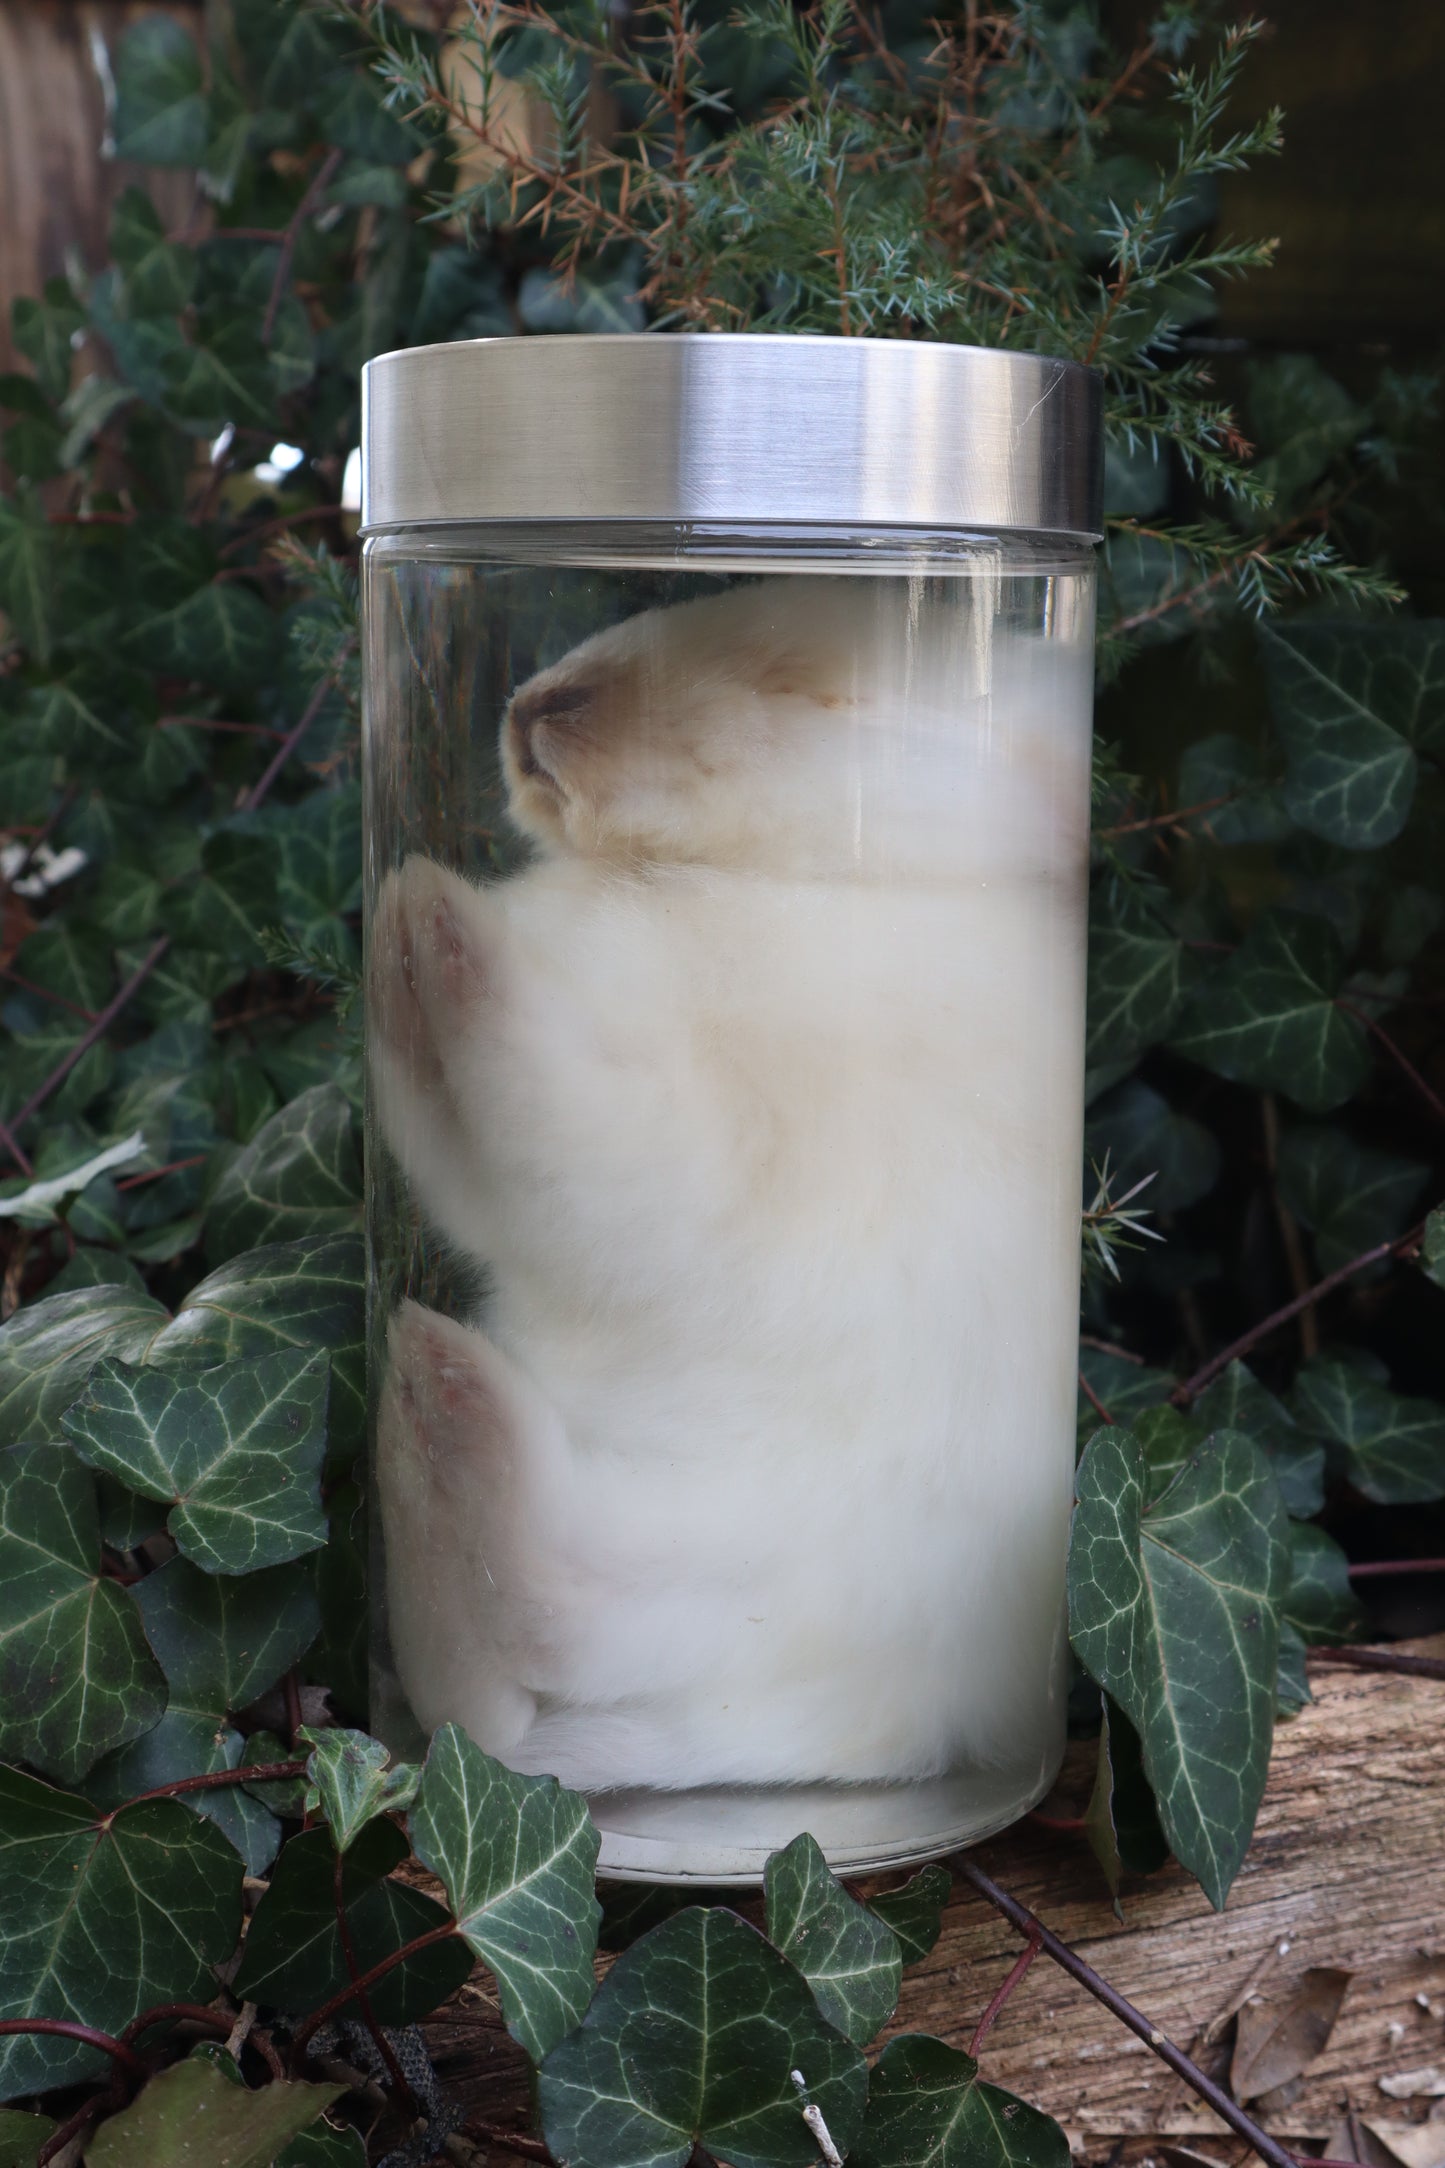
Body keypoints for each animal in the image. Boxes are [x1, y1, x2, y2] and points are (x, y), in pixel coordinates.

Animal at [369, 574, 1093, 1793]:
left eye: (810, 694)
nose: (539, 706)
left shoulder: (684, 1160)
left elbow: (540, 1101)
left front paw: (438, 916)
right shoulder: (489, 1178)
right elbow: (439, 1127)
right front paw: (391, 925)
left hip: (736, 1551)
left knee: (556, 1606)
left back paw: (442, 1393)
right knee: (496, 1687)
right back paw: (418, 1414)